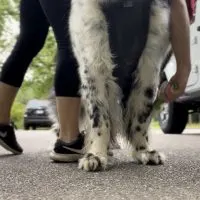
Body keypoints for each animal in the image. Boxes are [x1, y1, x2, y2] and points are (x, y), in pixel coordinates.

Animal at [50, 0, 172, 172]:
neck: (122, 6)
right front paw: (95, 155)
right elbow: (99, 118)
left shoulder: (149, 68)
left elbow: (141, 116)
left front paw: (144, 151)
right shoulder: (93, 66)